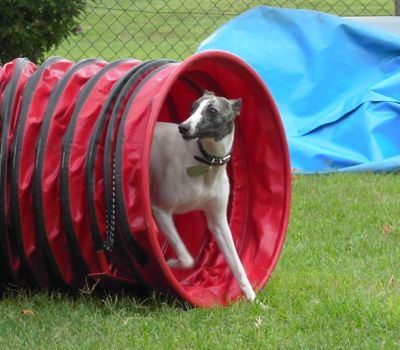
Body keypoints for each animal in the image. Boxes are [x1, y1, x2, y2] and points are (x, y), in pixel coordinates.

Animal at [150, 89, 256, 300]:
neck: (207, 163)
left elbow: (237, 264)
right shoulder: (160, 209)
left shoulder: (219, 223)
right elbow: (187, 258)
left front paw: (253, 299)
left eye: (212, 111)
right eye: (192, 107)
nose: (183, 127)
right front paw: (169, 263)